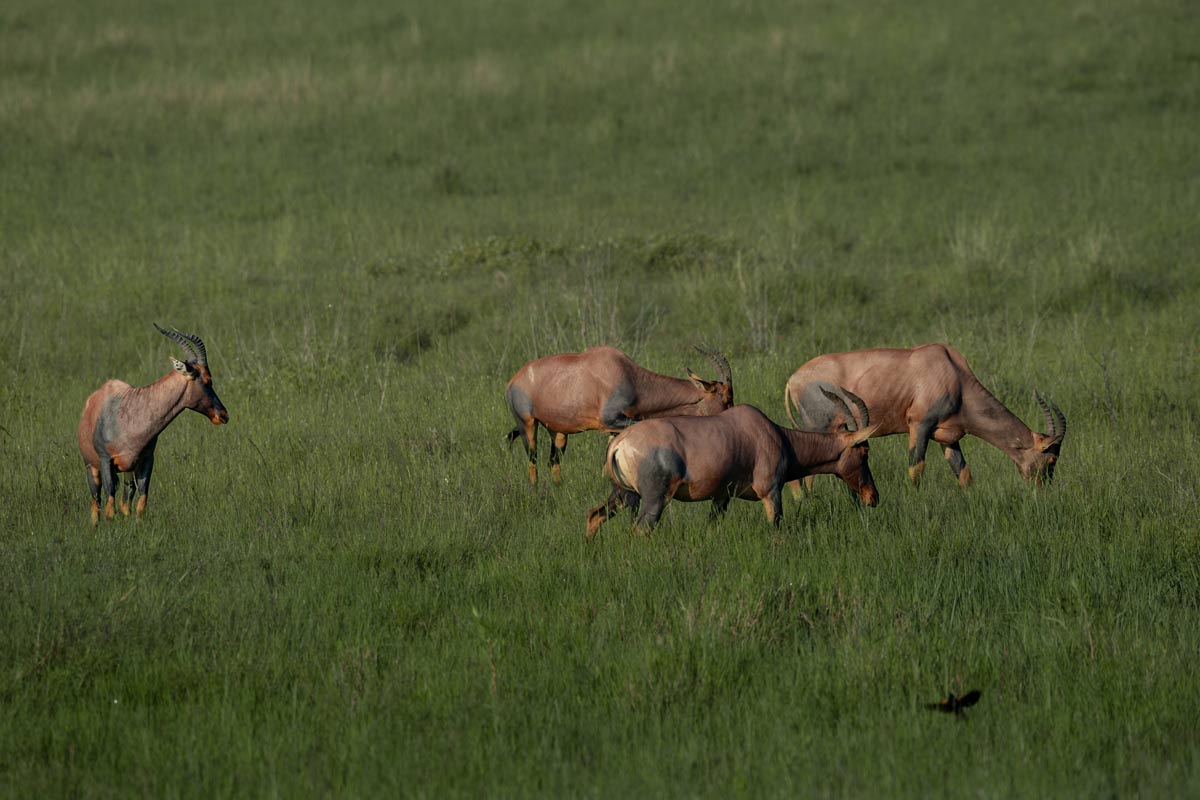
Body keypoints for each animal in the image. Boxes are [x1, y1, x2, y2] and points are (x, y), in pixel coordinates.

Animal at [77, 326, 226, 525]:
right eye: (208, 379)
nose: (223, 414)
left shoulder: (146, 460)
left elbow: (141, 504)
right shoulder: (105, 460)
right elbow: (110, 508)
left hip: (128, 471)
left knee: (126, 501)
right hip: (91, 467)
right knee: (96, 504)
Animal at [504, 343, 729, 484]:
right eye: (723, 397)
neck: (625, 373)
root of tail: (513, 382)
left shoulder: (614, 426)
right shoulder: (610, 420)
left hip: (557, 432)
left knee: (553, 461)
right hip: (527, 424)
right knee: (533, 459)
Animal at [585, 393, 878, 537]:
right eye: (864, 451)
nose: (873, 497)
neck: (773, 433)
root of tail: (619, 442)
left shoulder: (721, 497)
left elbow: (712, 526)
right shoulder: (770, 492)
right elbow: (777, 528)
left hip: (623, 493)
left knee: (594, 515)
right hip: (654, 498)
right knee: (640, 530)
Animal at [787, 343, 1070, 491]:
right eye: (1051, 458)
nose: (1042, 490)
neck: (952, 372)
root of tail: (793, 380)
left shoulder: (948, 437)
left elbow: (964, 474)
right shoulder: (919, 426)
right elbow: (916, 469)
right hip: (820, 428)